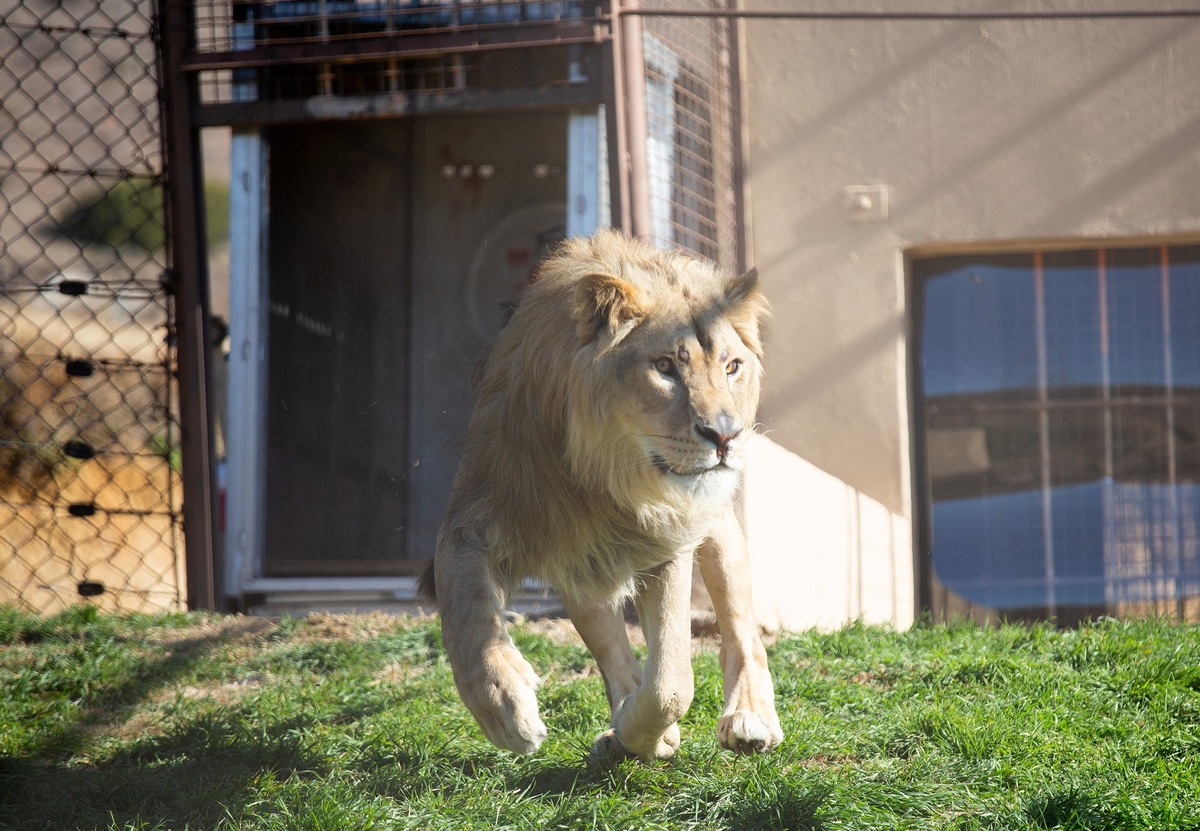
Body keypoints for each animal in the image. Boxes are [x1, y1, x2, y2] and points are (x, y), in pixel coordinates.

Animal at [424, 229, 787, 758]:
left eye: (732, 366)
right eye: (664, 367)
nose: (724, 435)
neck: (606, 477)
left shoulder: (668, 536)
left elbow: (672, 682)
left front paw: (644, 730)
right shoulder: (474, 517)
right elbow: (466, 614)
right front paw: (504, 708)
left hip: (710, 522)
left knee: (740, 626)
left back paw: (748, 718)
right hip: (582, 562)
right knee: (610, 647)